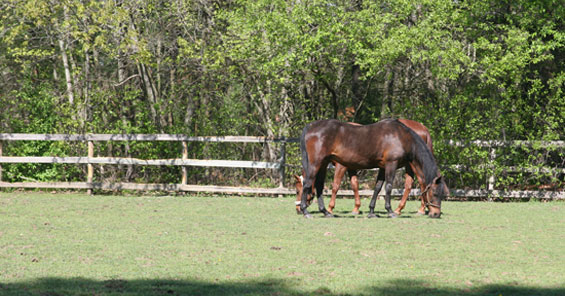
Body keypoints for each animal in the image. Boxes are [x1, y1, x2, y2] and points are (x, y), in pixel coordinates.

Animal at [298, 119, 448, 219]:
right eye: (435, 193)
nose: (436, 214)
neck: (400, 136)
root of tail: (311, 126)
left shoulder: (383, 167)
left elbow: (377, 188)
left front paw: (371, 212)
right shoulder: (391, 164)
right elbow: (388, 187)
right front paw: (390, 211)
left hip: (323, 164)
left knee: (318, 185)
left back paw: (325, 212)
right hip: (316, 163)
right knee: (308, 183)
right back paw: (306, 212)